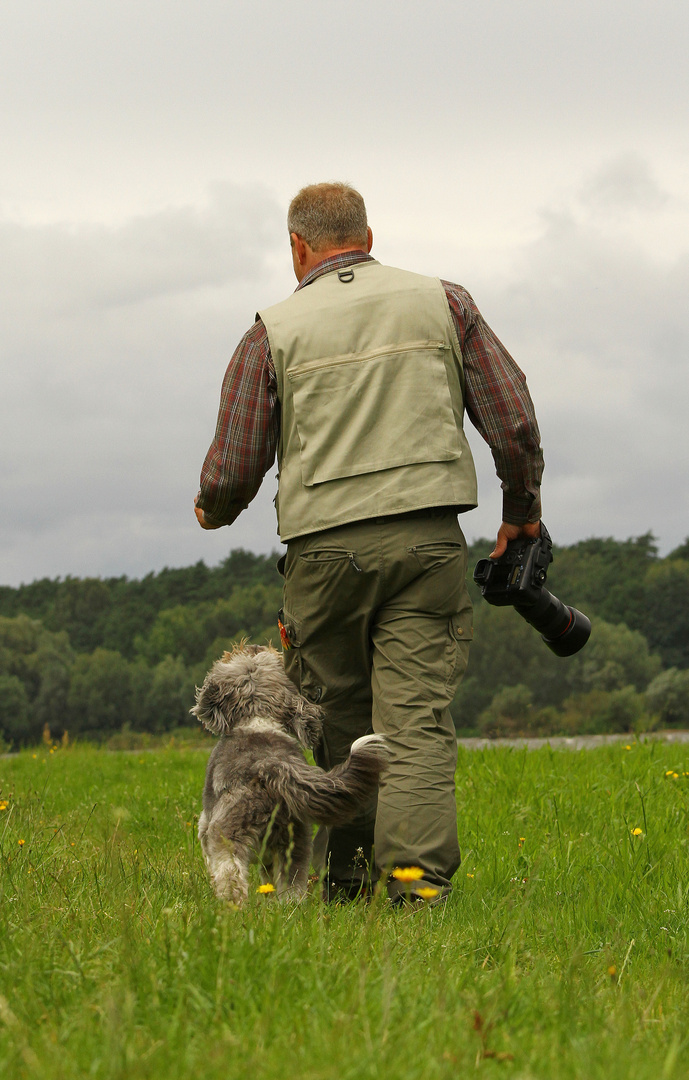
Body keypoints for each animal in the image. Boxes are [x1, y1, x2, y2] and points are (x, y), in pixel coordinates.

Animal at [193, 643, 388, 907]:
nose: (251, 645)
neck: (258, 720)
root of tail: (271, 765)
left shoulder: (206, 825)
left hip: (228, 832)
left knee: (231, 875)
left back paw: (230, 909)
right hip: (294, 840)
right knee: (292, 884)